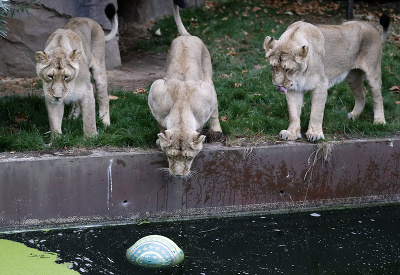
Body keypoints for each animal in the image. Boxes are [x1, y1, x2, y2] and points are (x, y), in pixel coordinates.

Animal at [35, 3, 118, 139]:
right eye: (50, 76)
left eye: (66, 76)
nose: (57, 96)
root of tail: (90, 20)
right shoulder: (51, 97)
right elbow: (54, 121)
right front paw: (56, 140)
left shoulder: (87, 91)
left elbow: (89, 119)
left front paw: (91, 138)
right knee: (76, 103)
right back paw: (71, 118)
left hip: (99, 69)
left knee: (104, 98)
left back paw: (105, 123)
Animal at [148, 0, 222, 177]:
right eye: (170, 156)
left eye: (189, 157)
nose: (178, 175)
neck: (181, 111)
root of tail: (187, 36)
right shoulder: (155, 92)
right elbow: (161, 126)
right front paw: (159, 139)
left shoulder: (206, 95)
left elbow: (202, 123)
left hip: (208, 74)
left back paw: (216, 131)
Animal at [264, 14, 390, 142]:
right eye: (273, 66)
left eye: (287, 69)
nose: (278, 86)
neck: (299, 74)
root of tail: (373, 28)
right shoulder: (294, 89)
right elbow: (293, 113)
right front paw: (291, 133)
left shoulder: (321, 85)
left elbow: (316, 113)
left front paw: (315, 133)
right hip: (353, 77)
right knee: (362, 93)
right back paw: (355, 115)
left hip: (373, 73)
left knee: (378, 98)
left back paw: (379, 121)